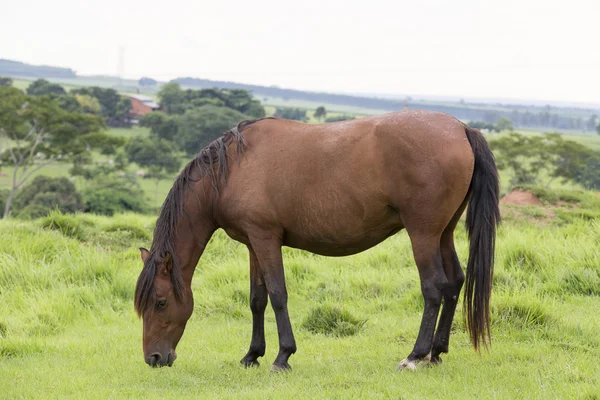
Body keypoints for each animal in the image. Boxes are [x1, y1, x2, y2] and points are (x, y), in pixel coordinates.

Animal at [135, 110, 502, 372]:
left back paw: (415, 355)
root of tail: (461, 128)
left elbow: (278, 295)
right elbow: (257, 299)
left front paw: (282, 356)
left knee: (434, 287)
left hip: (422, 234)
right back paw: (436, 353)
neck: (232, 170)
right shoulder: (253, 243)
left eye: (161, 302)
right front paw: (252, 355)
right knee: (454, 282)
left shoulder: (266, 239)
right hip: (444, 233)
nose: (154, 358)